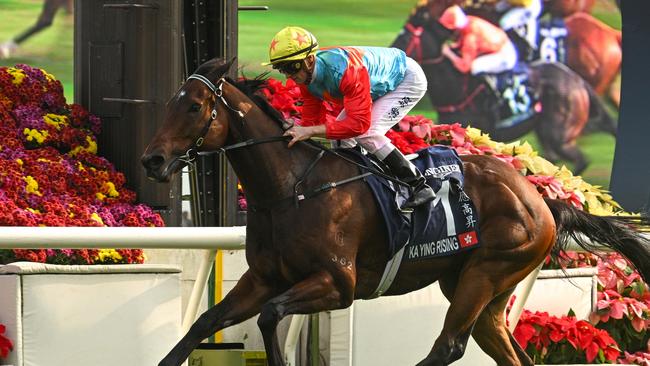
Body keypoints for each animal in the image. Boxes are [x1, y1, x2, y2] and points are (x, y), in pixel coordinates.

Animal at [140, 57, 648, 366]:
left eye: (194, 106)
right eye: (170, 103)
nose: (152, 160)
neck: (292, 189)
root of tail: (540, 197)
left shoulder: (337, 284)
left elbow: (269, 316)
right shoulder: (263, 277)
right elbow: (205, 322)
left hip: (488, 270)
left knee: (448, 345)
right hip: (480, 287)